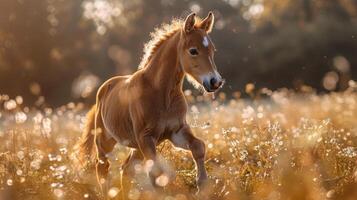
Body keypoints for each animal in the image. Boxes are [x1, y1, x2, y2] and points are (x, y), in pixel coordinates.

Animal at [76, 11, 222, 195]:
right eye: (193, 51)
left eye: (212, 50)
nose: (215, 82)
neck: (162, 94)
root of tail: (103, 89)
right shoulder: (146, 137)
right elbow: (157, 173)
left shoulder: (176, 131)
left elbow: (198, 147)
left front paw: (201, 185)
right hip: (106, 141)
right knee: (102, 166)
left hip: (136, 147)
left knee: (126, 169)